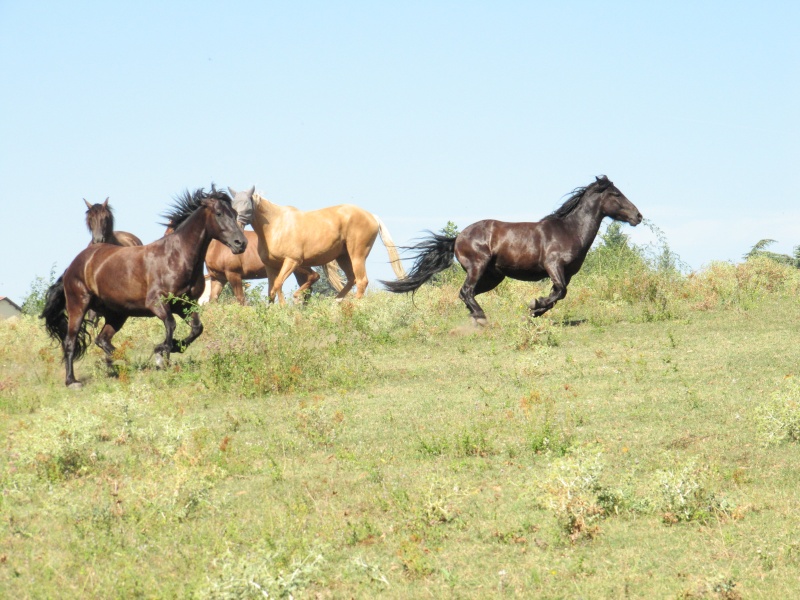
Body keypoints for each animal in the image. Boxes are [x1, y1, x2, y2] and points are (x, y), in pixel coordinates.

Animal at [40, 185, 245, 390]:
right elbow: (171, 324)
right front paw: (161, 355)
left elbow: (197, 329)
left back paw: (120, 363)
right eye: (219, 213)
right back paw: (72, 381)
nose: (241, 243)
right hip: (78, 305)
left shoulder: (185, 304)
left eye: (235, 213)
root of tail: (73, 265)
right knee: (70, 341)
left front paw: (174, 347)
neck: (176, 256)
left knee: (102, 339)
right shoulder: (156, 302)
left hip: (117, 314)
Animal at [230, 188, 406, 302]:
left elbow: (278, 285)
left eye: (247, 204)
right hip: (343, 257)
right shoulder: (270, 266)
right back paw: (335, 303)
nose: (237, 227)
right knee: (352, 279)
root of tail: (373, 216)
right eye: (232, 205)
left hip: (357, 255)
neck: (275, 225)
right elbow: (272, 290)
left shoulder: (292, 261)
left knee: (362, 281)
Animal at [382, 173, 644, 324]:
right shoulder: (553, 266)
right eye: (616, 194)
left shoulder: (567, 273)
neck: (569, 230)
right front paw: (534, 306)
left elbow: (558, 295)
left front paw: (536, 310)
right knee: (466, 291)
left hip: (493, 276)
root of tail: (458, 238)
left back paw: (475, 317)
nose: (638, 216)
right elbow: (559, 292)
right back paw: (481, 318)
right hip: (477, 267)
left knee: (467, 294)